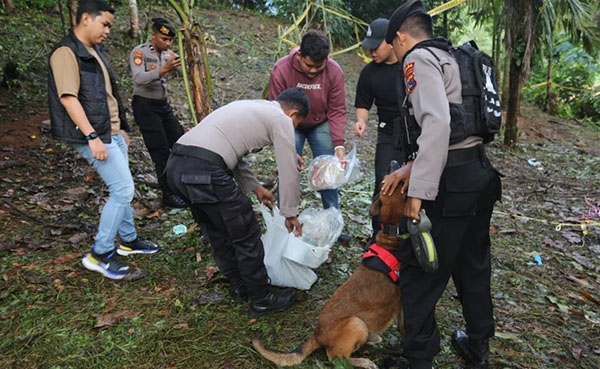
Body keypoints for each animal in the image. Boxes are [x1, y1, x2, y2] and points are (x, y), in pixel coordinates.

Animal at [253, 190, 408, 368]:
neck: (391, 235)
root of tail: (316, 334)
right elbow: (404, 327)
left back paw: (371, 338)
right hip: (356, 323)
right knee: (335, 356)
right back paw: (363, 361)